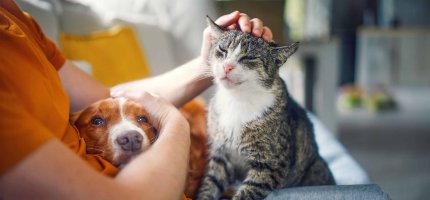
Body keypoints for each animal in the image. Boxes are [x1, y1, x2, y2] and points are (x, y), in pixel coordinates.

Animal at [196, 17, 336, 200]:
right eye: (222, 49)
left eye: (249, 57)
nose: (227, 67)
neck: (237, 99)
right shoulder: (221, 156)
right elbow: (210, 184)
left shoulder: (270, 165)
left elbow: (247, 192)